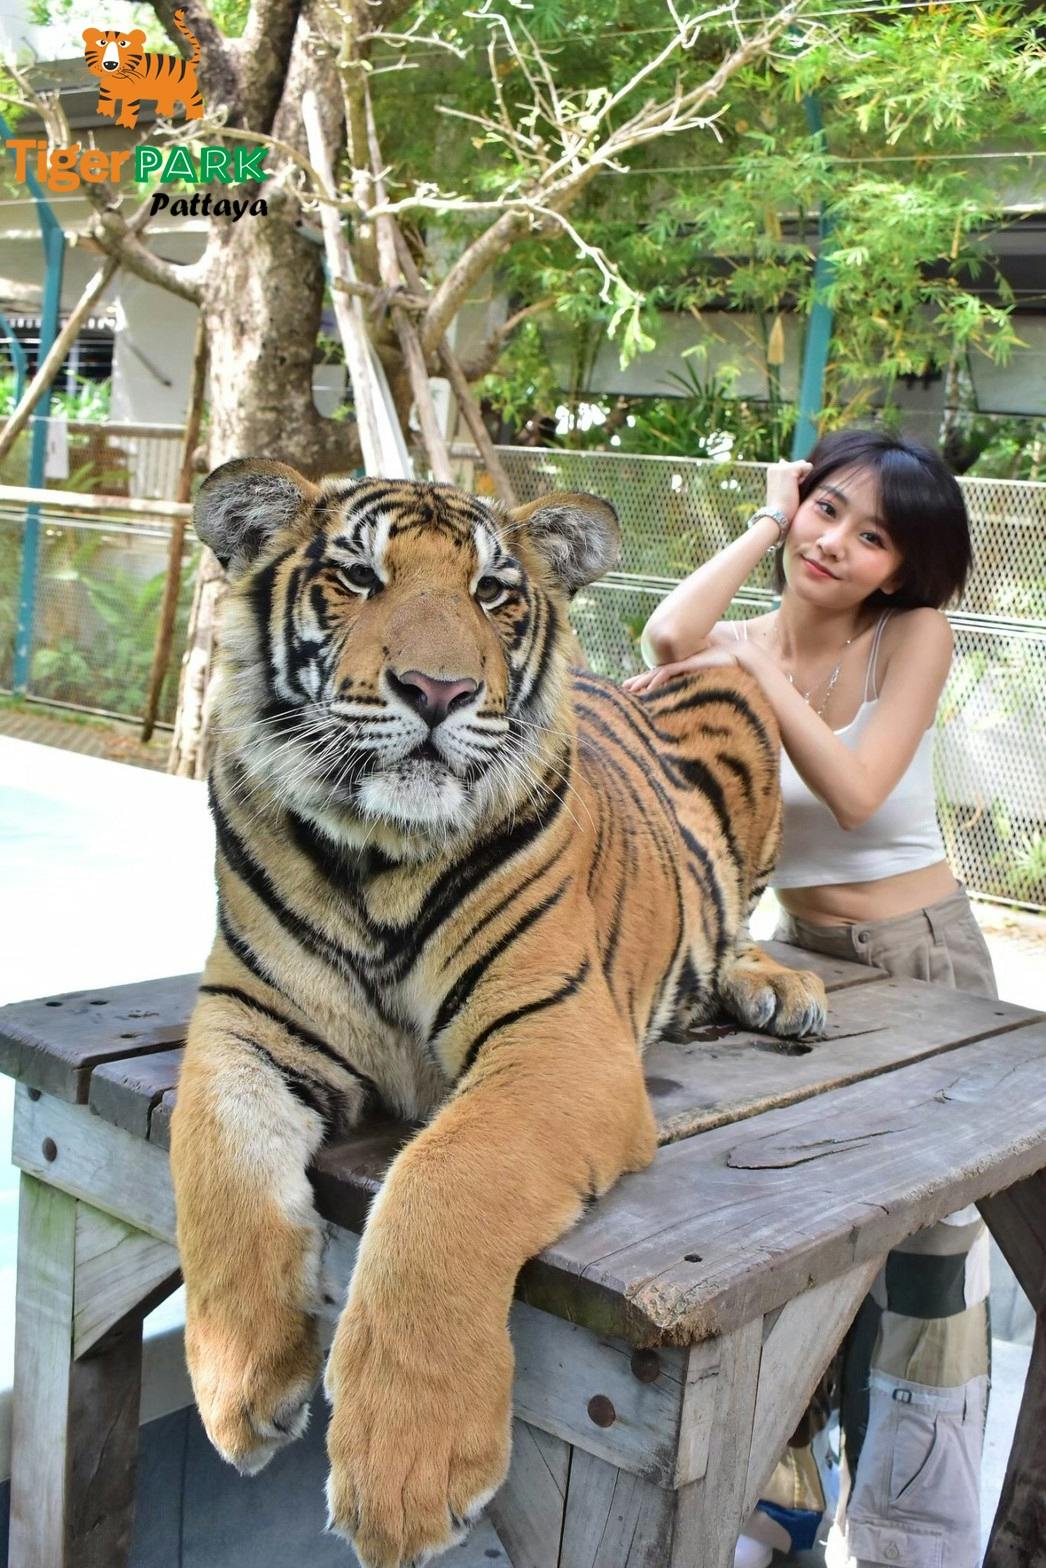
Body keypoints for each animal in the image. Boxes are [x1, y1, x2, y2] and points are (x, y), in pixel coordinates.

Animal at [170, 459, 827, 1568]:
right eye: (357, 575)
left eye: (492, 594)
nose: (438, 691)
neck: (375, 862)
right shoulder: (245, 1020)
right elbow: (215, 1159)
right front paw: (239, 1379)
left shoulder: (557, 1035)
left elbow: (443, 1181)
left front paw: (405, 1466)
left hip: (739, 705)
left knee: (737, 918)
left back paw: (781, 989)